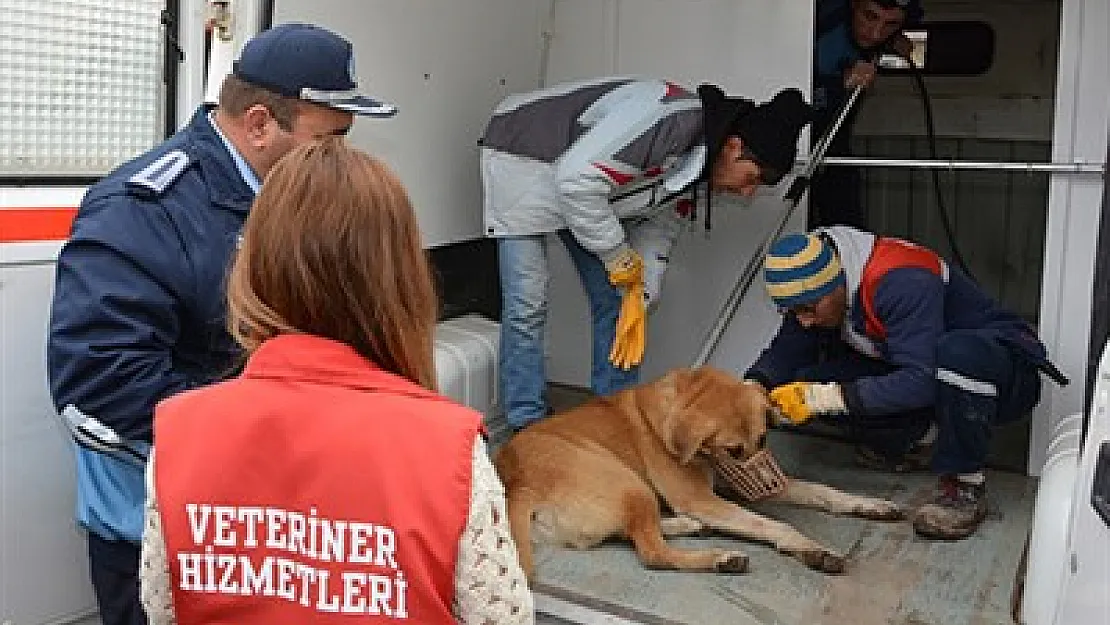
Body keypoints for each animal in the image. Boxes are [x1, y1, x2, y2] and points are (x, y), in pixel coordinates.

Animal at [492, 368, 901, 581]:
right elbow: (775, 525)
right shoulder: (702, 498)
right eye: (733, 451)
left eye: (763, 438)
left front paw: (870, 504)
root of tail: (516, 482)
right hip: (629, 482)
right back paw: (720, 556)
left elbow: (823, 490)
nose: (769, 484)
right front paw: (812, 548)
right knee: (651, 553)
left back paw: (685, 526)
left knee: (633, 534)